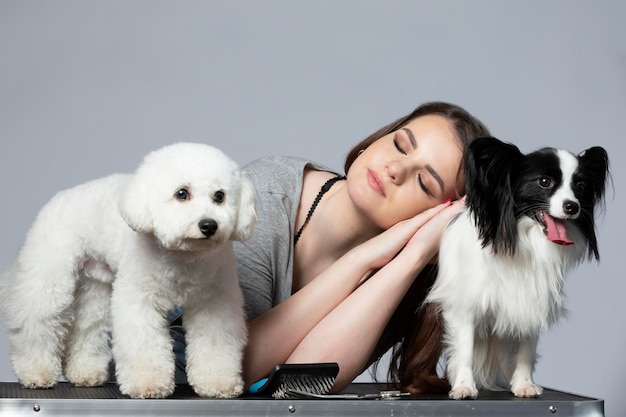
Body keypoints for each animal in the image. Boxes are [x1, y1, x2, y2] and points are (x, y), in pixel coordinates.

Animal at [0, 142, 256, 396]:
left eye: (220, 196)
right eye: (181, 193)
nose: (209, 225)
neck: (182, 256)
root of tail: (59, 197)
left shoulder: (214, 304)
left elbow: (215, 344)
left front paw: (217, 382)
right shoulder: (140, 300)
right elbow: (144, 343)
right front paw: (148, 383)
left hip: (95, 288)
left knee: (88, 326)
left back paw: (85, 372)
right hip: (50, 275)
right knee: (37, 320)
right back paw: (36, 372)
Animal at [426, 136, 608, 400]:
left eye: (580, 187)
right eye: (544, 182)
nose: (572, 206)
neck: (526, 242)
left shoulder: (531, 301)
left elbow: (526, 350)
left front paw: (524, 384)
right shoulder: (465, 305)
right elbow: (465, 349)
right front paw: (463, 387)